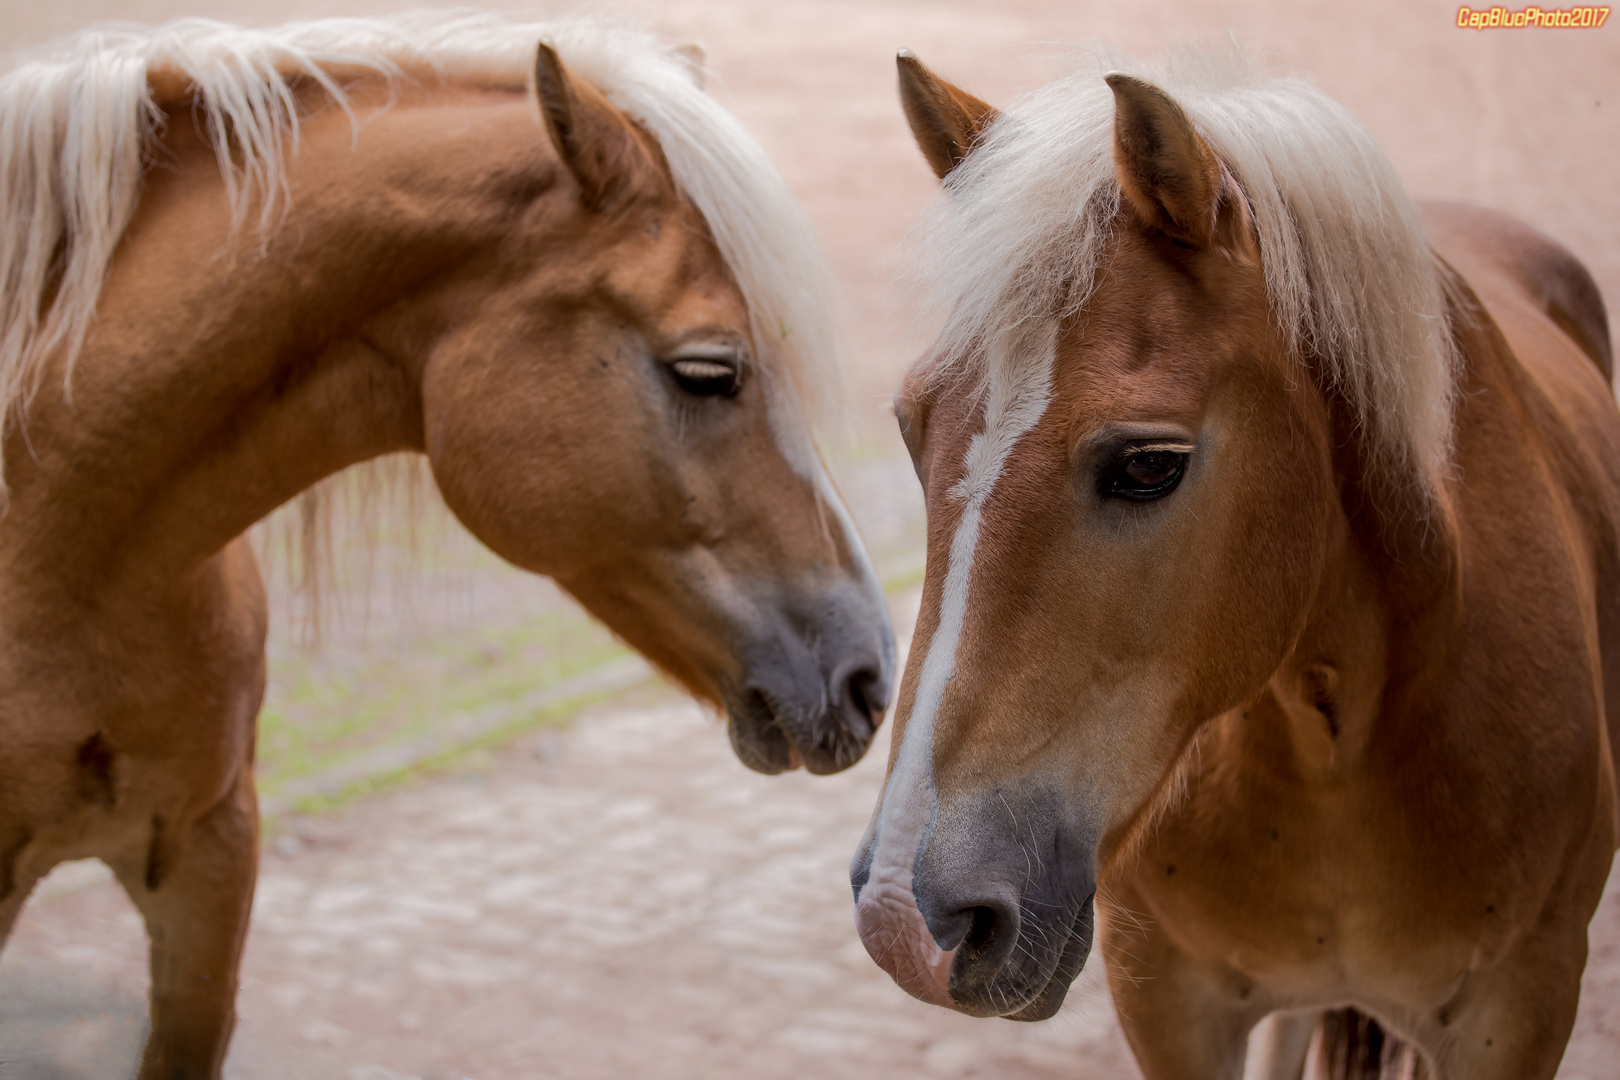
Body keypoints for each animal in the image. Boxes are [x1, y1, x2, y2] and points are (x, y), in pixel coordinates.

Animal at [848, 46, 1620, 1075]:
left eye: (1149, 465)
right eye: (909, 428)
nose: (907, 918)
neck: (1343, 745)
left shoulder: (1521, 1010)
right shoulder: (1170, 1003)